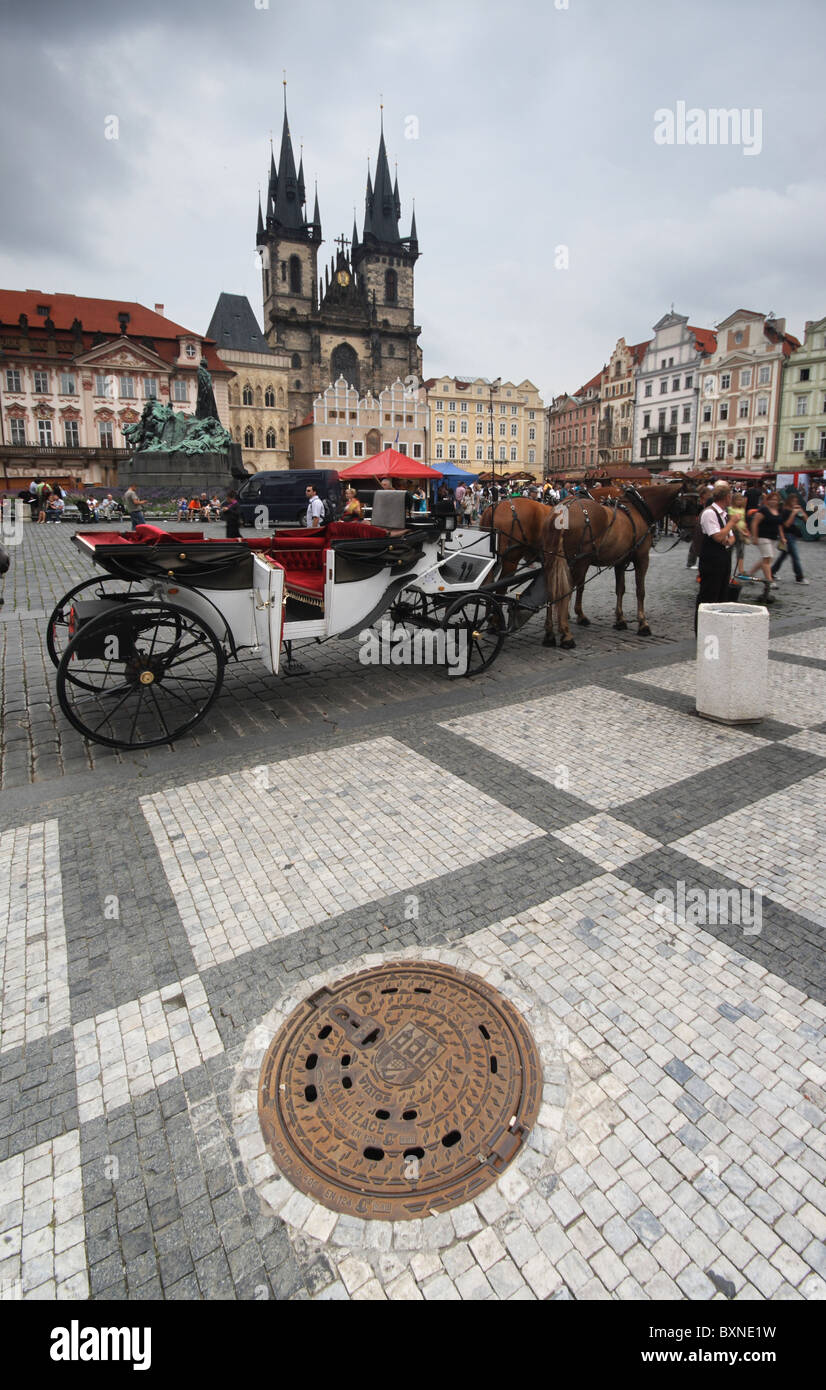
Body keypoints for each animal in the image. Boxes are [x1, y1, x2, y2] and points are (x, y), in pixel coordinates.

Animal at [539, 483, 681, 644]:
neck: (638, 508)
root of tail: (561, 512)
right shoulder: (642, 559)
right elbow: (640, 591)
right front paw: (643, 624)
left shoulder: (620, 561)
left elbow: (620, 589)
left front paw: (620, 620)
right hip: (578, 562)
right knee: (565, 592)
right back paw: (566, 635)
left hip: (553, 561)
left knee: (552, 591)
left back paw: (550, 633)